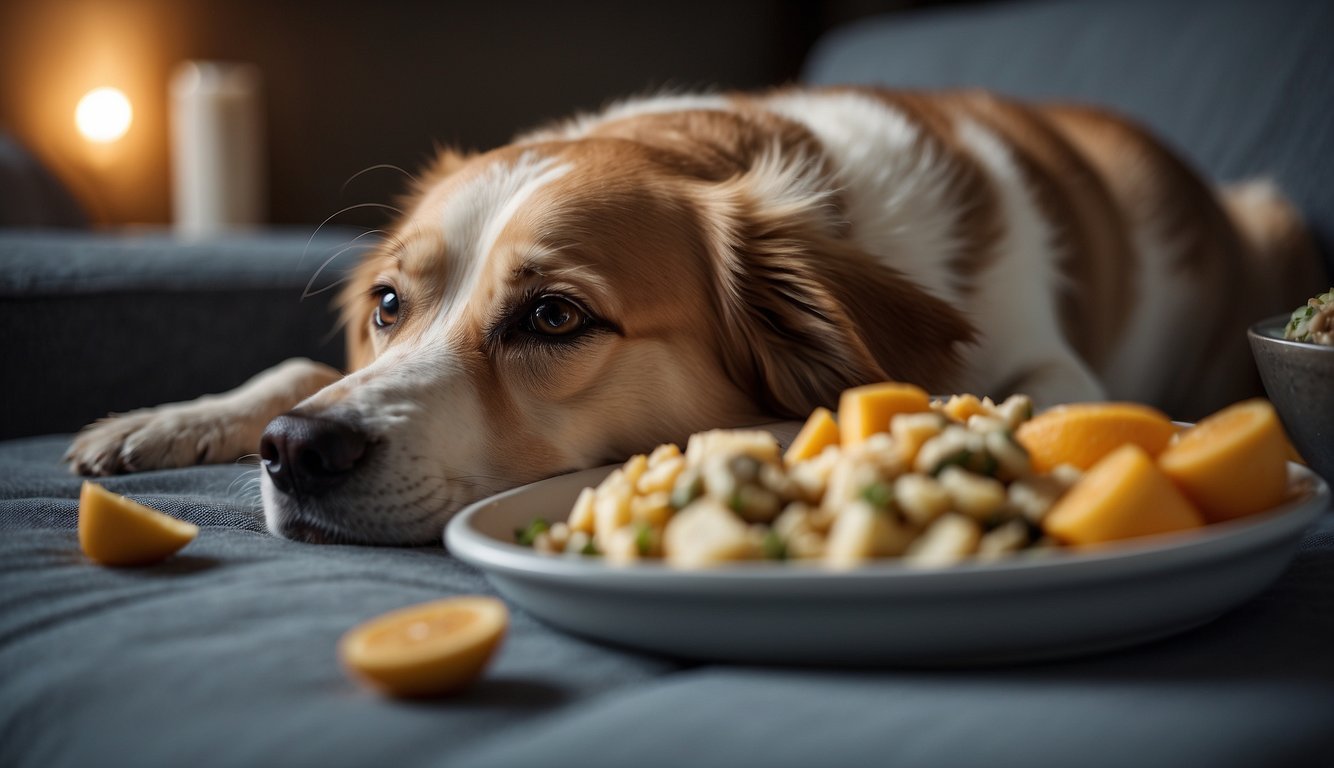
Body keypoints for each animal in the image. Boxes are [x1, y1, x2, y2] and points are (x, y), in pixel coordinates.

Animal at [62, 86, 1312, 544]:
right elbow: (294, 368)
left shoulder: (1058, 379)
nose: (295, 456)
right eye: (384, 304)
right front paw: (171, 418)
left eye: (553, 318)